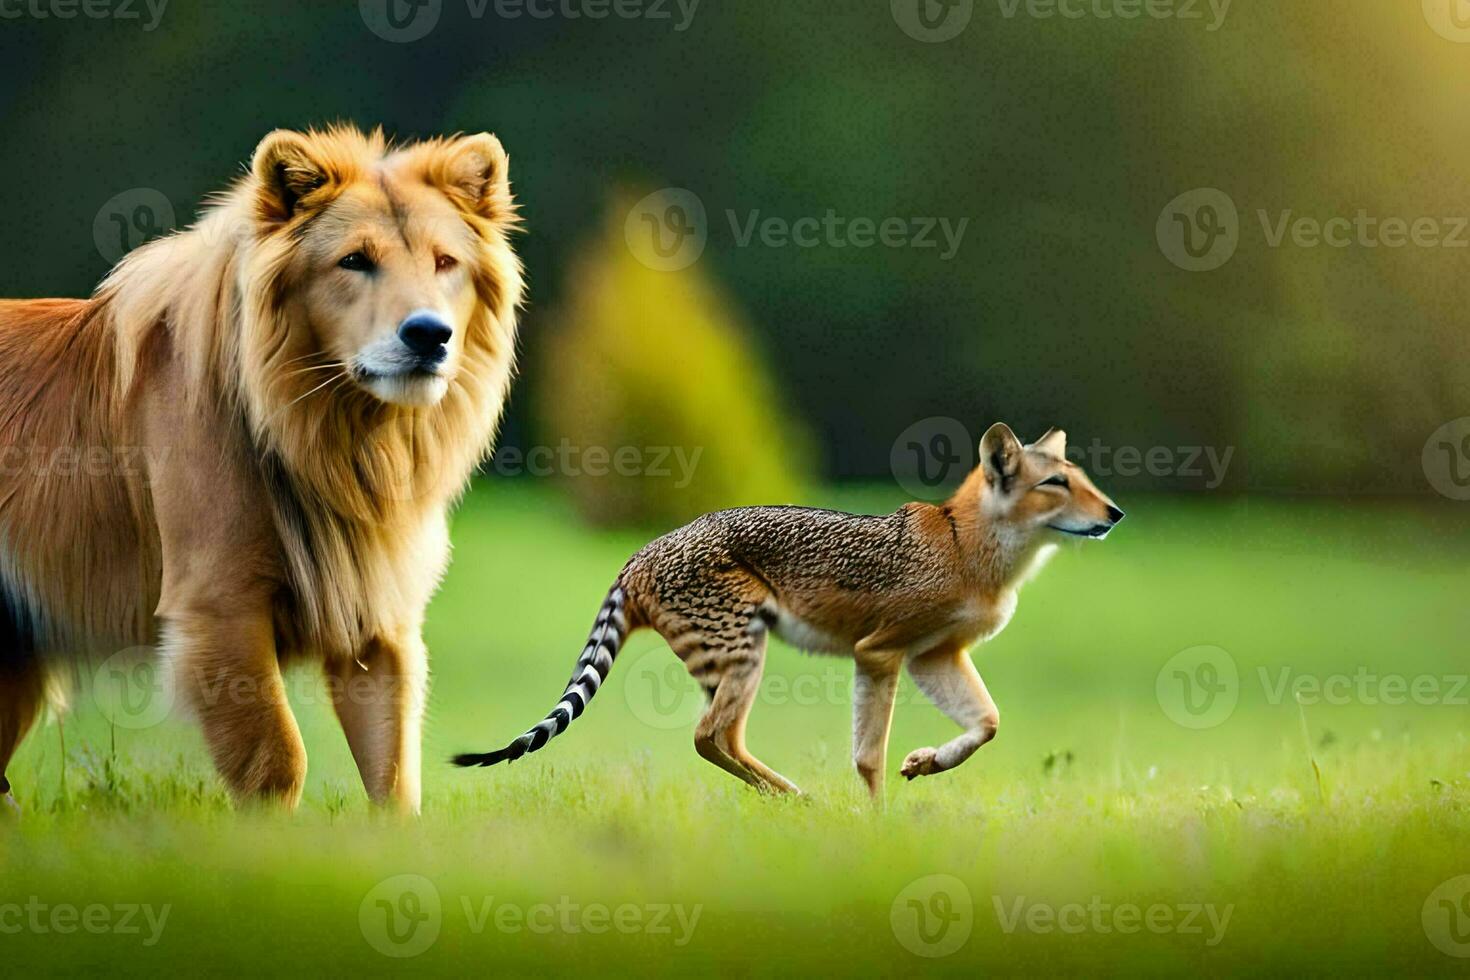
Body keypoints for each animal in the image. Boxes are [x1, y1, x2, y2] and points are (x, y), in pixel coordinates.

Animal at [0, 124, 526, 811]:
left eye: (445, 263)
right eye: (354, 261)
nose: (429, 334)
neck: (346, 437)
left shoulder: (378, 622)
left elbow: (393, 777)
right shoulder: (218, 608)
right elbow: (278, 758)